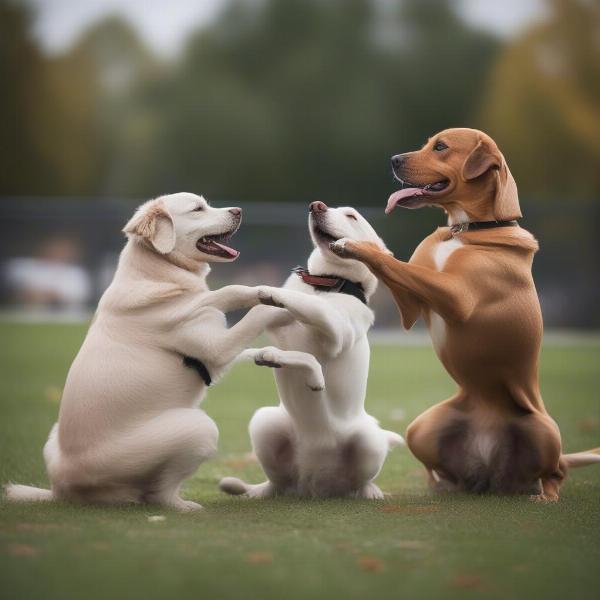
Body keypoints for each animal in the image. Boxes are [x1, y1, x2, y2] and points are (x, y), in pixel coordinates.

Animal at [7, 193, 314, 510]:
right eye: (197, 209)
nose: (238, 210)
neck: (162, 277)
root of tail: (60, 490)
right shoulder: (216, 349)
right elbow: (240, 299)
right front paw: (281, 302)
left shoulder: (218, 350)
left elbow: (236, 312)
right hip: (199, 428)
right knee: (158, 494)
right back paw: (184, 507)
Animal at [220, 204, 404, 500]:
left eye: (352, 215)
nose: (317, 205)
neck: (325, 284)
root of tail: (315, 484)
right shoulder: (274, 324)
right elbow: (269, 321)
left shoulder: (335, 333)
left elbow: (306, 322)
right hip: (264, 423)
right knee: (277, 482)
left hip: (369, 441)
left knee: (360, 481)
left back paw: (370, 491)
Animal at [332, 127, 600, 502]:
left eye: (441, 147)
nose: (394, 160)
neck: (468, 229)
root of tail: (492, 468)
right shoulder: (412, 306)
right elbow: (395, 267)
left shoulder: (456, 296)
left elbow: (393, 262)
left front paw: (353, 245)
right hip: (419, 429)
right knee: (451, 472)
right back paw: (448, 486)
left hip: (545, 429)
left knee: (555, 473)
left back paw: (543, 495)